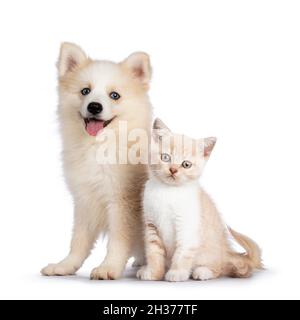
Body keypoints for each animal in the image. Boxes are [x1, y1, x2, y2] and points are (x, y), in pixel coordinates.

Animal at [41, 43, 152, 280]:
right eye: (85, 91)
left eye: (114, 95)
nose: (94, 107)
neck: (98, 146)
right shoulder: (84, 200)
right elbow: (78, 241)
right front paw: (65, 266)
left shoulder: (121, 202)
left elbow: (118, 240)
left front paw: (109, 267)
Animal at [137, 119, 262, 282]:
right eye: (165, 157)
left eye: (186, 164)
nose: (173, 170)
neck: (168, 191)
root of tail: (226, 252)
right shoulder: (151, 225)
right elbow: (153, 252)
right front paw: (153, 272)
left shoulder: (187, 227)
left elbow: (182, 253)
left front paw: (177, 272)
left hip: (211, 254)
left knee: (219, 268)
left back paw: (203, 271)